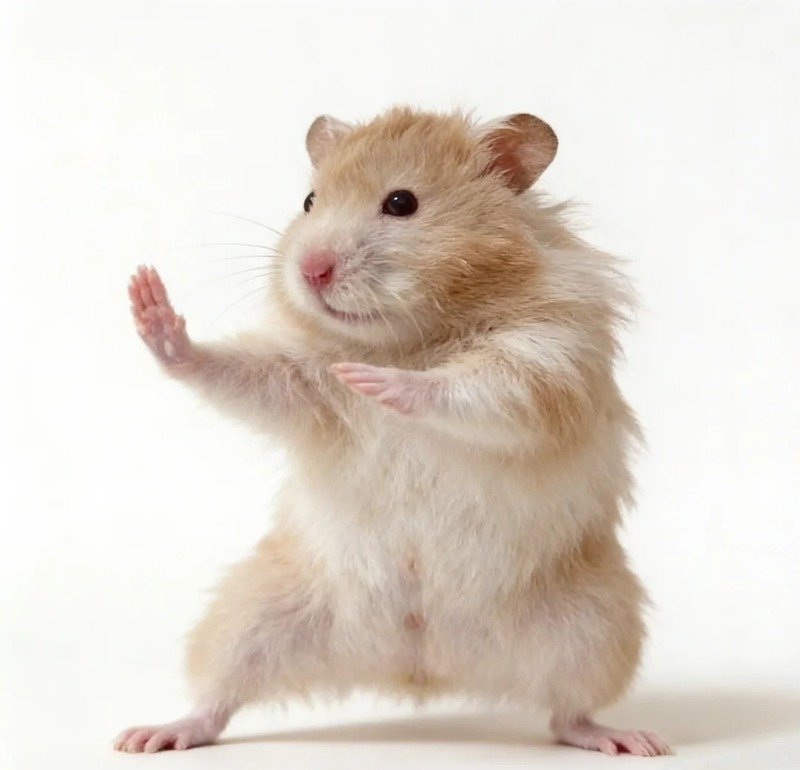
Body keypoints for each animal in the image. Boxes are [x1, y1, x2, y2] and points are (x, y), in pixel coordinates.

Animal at [114, 108, 670, 757]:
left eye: (401, 203)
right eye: (308, 201)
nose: (310, 270)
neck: (406, 334)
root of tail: (421, 666)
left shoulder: (547, 359)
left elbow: (474, 390)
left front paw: (377, 382)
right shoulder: (298, 380)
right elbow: (241, 374)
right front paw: (151, 306)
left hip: (596, 625)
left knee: (569, 713)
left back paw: (630, 741)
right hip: (252, 613)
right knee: (218, 694)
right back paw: (151, 736)